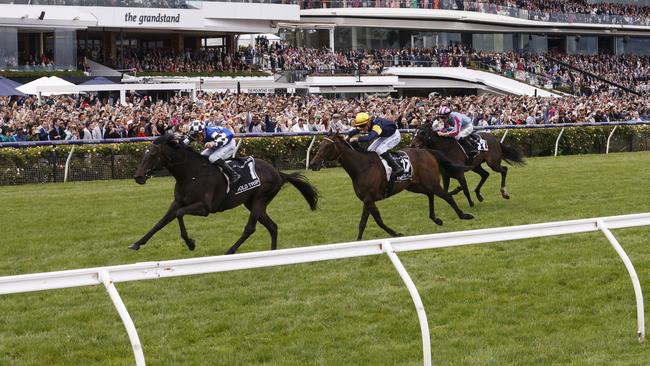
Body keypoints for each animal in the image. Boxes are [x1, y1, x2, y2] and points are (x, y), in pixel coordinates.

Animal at [130, 134, 318, 254]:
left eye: (152, 155)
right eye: (144, 154)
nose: (138, 176)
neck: (191, 174)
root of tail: (278, 172)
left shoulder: (204, 208)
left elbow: (179, 214)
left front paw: (190, 243)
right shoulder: (177, 202)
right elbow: (160, 222)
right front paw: (137, 243)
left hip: (260, 198)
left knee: (250, 228)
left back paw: (230, 250)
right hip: (252, 203)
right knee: (272, 226)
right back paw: (272, 253)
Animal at [308, 132, 470, 240]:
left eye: (328, 146)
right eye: (320, 144)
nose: (313, 164)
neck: (362, 167)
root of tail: (427, 151)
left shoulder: (369, 198)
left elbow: (375, 221)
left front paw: (395, 234)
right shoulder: (367, 200)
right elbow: (366, 222)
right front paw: (359, 241)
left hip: (431, 183)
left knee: (447, 196)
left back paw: (464, 215)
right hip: (414, 185)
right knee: (430, 195)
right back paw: (435, 219)